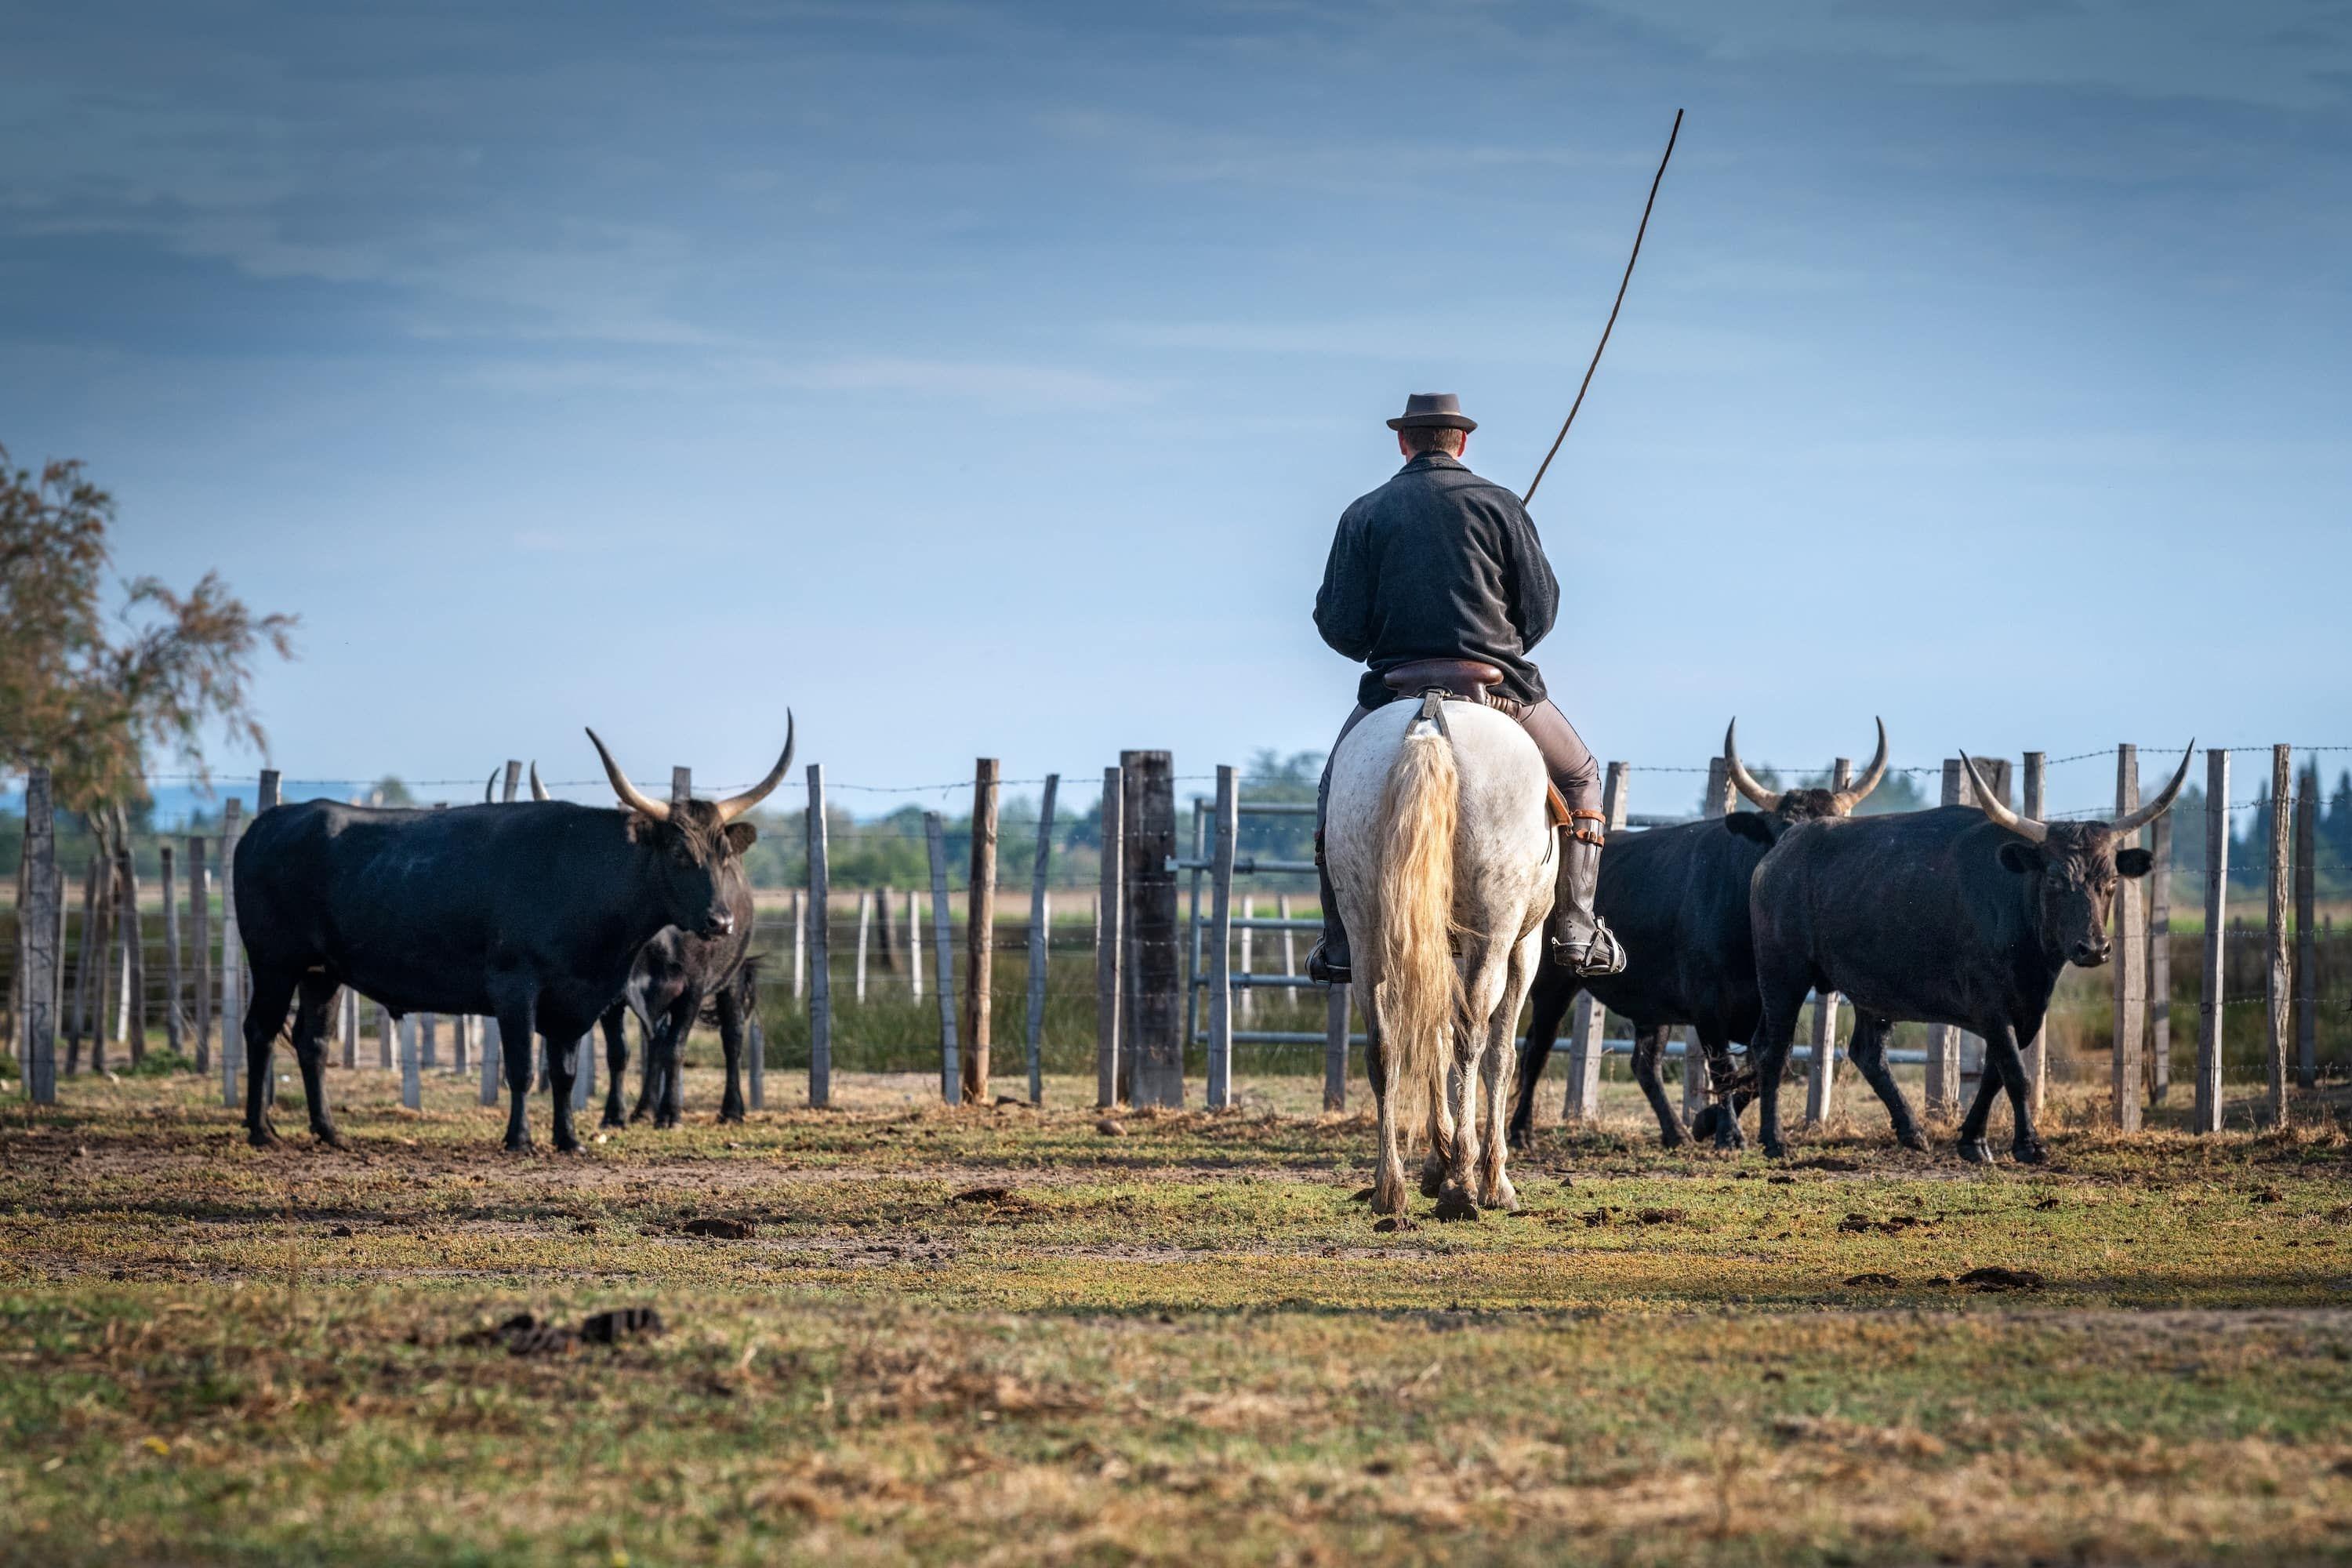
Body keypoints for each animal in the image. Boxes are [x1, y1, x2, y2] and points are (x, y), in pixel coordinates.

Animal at [1327, 700, 1562, 1222]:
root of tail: (1429, 721)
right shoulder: (1523, 948)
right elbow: (1498, 1055)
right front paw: (1488, 1176)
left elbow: (1434, 1042)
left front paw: (1438, 1159)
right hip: (1496, 934)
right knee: (1474, 1040)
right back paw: (1463, 1186)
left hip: (1367, 935)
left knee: (1384, 1046)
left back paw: (1390, 1186)